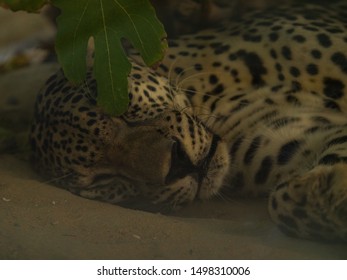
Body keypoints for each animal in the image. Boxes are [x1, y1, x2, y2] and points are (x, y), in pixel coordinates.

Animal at [28, 0, 347, 242]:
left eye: (123, 112)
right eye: (104, 178)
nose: (178, 165)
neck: (213, 99)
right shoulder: (293, 137)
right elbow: (282, 203)